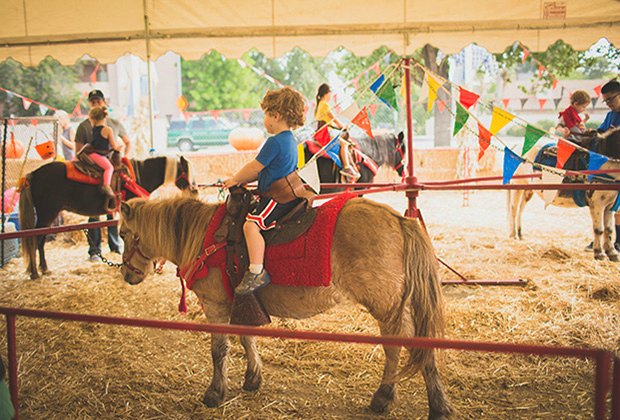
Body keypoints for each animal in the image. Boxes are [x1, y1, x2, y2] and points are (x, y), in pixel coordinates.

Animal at [19, 155, 195, 278]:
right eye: (186, 171)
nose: (194, 189)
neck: (137, 176)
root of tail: (33, 175)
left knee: (39, 241)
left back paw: (42, 269)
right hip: (47, 214)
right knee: (35, 239)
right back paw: (35, 272)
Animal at [118, 196, 452, 416]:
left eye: (122, 233)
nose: (126, 274)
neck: (205, 237)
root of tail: (400, 221)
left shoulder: (216, 306)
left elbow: (219, 351)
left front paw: (215, 392)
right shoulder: (241, 301)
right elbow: (247, 338)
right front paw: (252, 378)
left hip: (386, 307)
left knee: (398, 347)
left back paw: (385, 397)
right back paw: (436, 404)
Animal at [508, 127, 620, 260]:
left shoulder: (609, 205)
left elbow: (609, 229)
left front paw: (612, 252)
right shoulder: (597, 204)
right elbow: (599, 229)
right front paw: (599, 253)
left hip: (528, 189)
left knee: (521, 209)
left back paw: (520, 234)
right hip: (518, 185)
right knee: (514, 210)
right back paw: (513, 234)